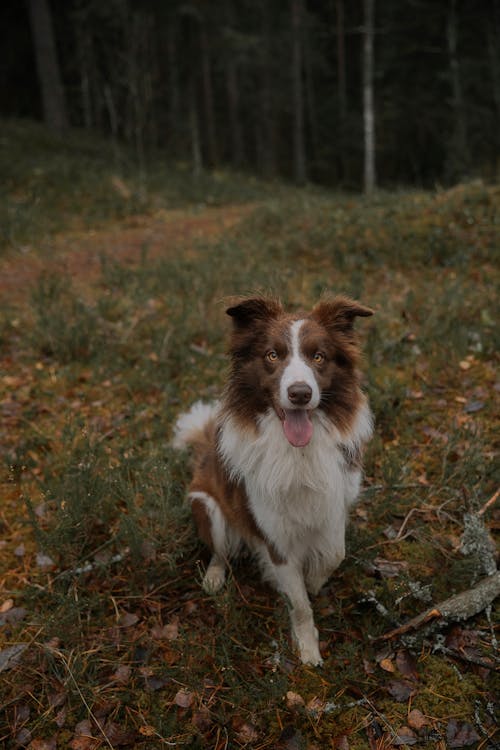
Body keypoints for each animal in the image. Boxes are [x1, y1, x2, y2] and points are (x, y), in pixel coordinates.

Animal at [174, 296, 374, 668]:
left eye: (318, 356)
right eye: (272, 355)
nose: (300, 394)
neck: (298, 453)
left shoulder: (334, 504)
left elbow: (334, 553)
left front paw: (314, 580)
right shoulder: (275, 536)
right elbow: (299, 604)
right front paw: (308, 650)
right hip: (207, 505)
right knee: (220, 551)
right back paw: (214, 577)